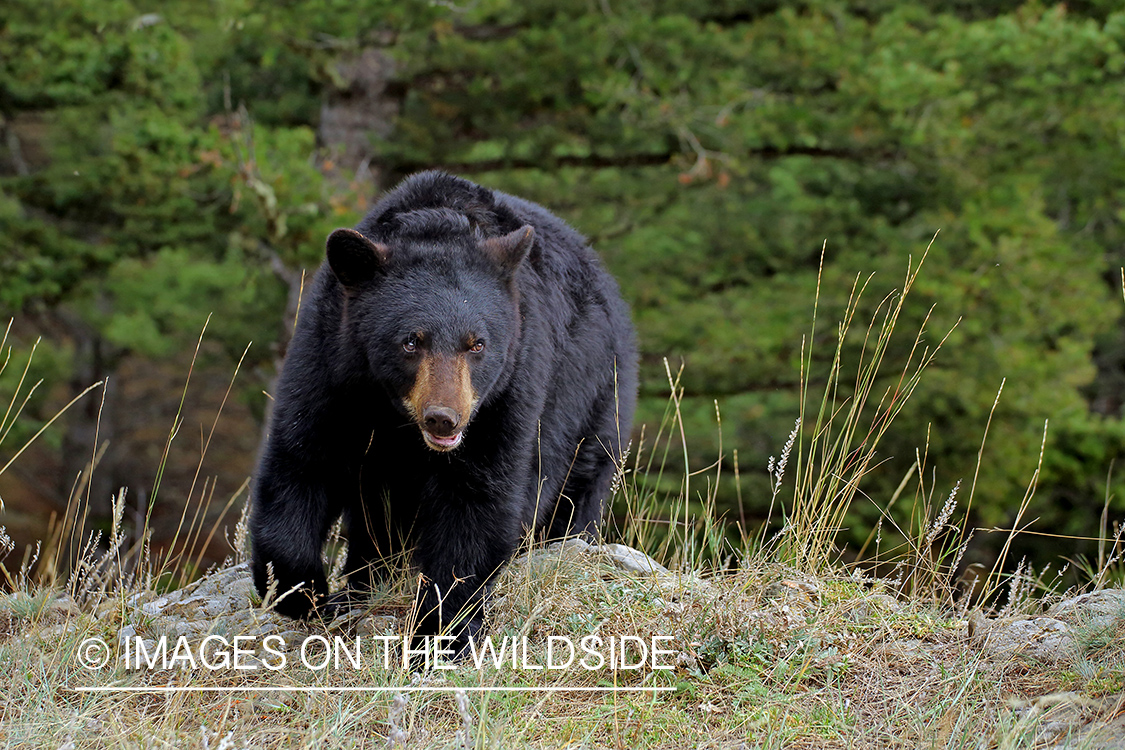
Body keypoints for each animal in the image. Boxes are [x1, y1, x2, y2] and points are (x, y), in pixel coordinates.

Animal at [254, 168, 639, 647]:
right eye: (410, 341)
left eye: (477, 344)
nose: (444, 418)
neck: (393, 414)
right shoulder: (331, 364)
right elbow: (302, 461)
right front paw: (301, 591)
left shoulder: (506, 392)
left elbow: (477, 503)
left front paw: (440, 633)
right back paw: (362, 583)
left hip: (594, 400)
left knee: (577, 491)